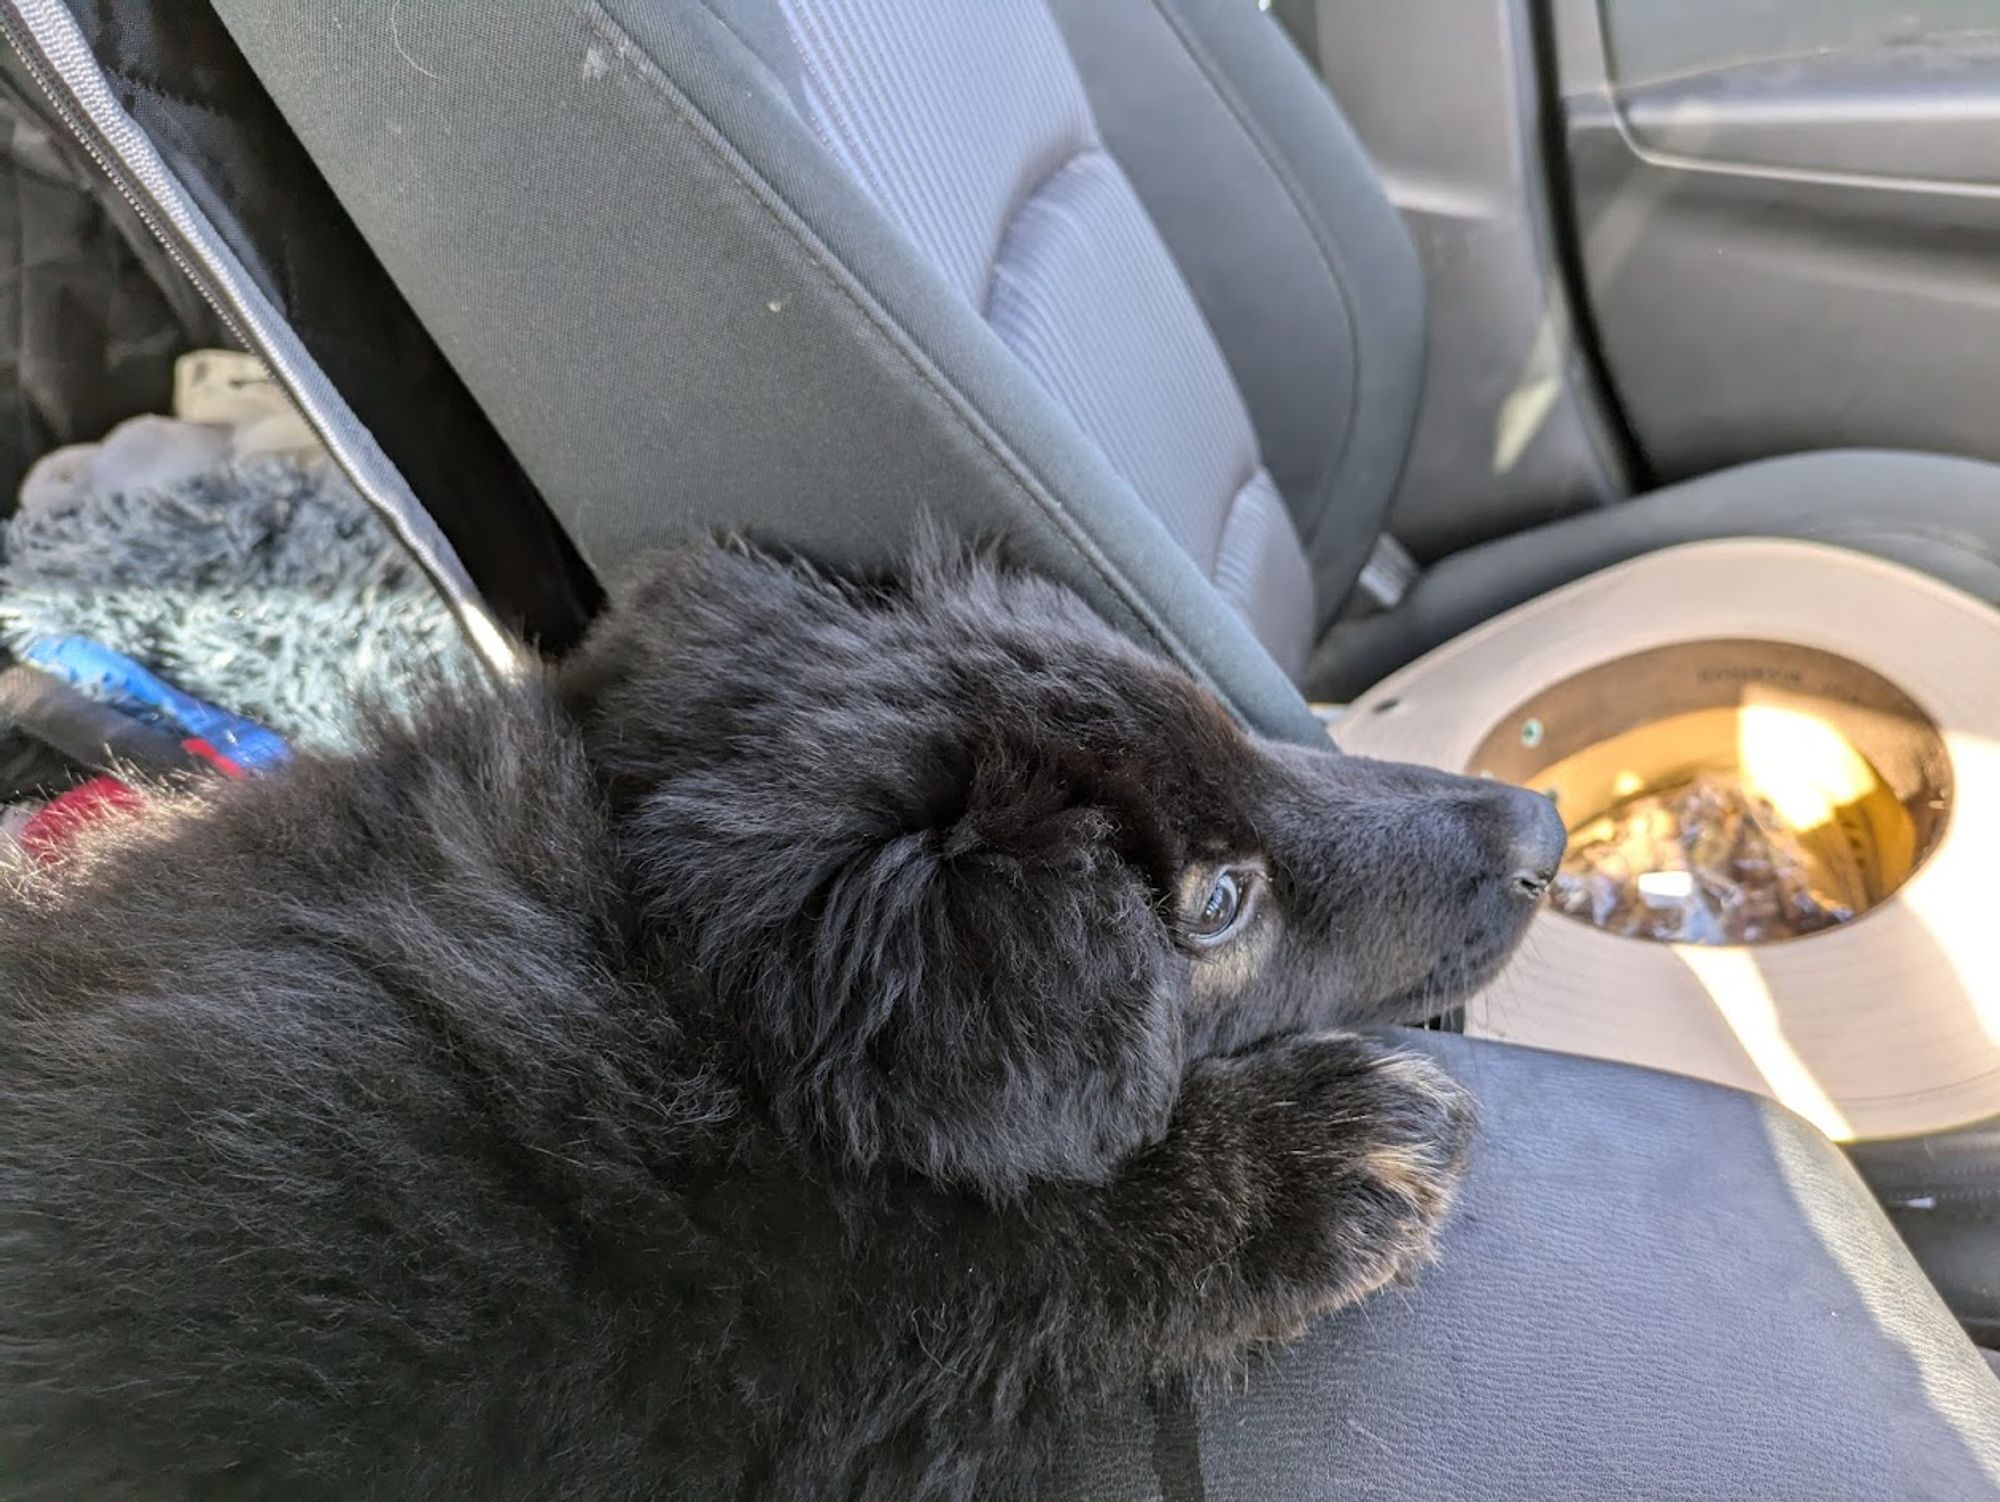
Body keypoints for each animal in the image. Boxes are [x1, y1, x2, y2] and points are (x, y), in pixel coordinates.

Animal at [0, 544, 1560, 1502]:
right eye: (1222, 900)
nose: (1540, 829)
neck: (656, 987)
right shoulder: (651, 1301)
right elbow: (920, 1262)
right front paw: (1313, 1158)